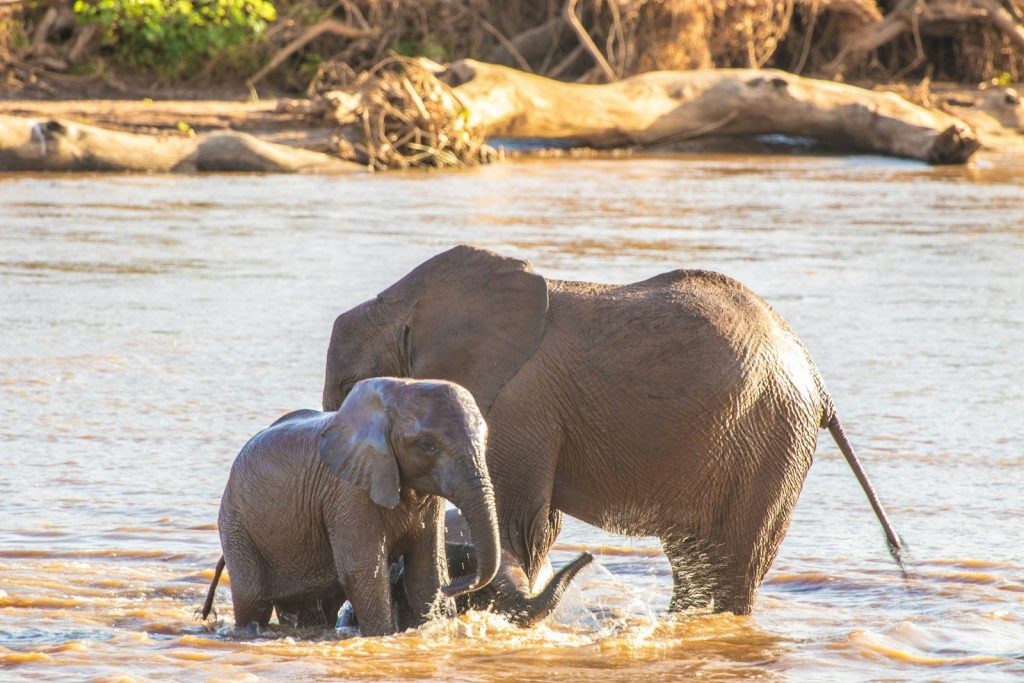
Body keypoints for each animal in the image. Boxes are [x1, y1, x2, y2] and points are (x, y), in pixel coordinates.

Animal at [200, 376, 501, 636]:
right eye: (427, 445)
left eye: (486, 439)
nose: (456, 588)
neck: (398, 389)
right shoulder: (348, 492)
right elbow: (365, 572)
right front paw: (384, 636)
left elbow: (427, 571)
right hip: (236, 522)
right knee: (253, 599)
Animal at [321, 245, 904, 618]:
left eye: (349, 384)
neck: (409, 301)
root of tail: (818, 381)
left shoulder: (517, 405)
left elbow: (520, 521)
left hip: (770, 443)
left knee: (730, 568)